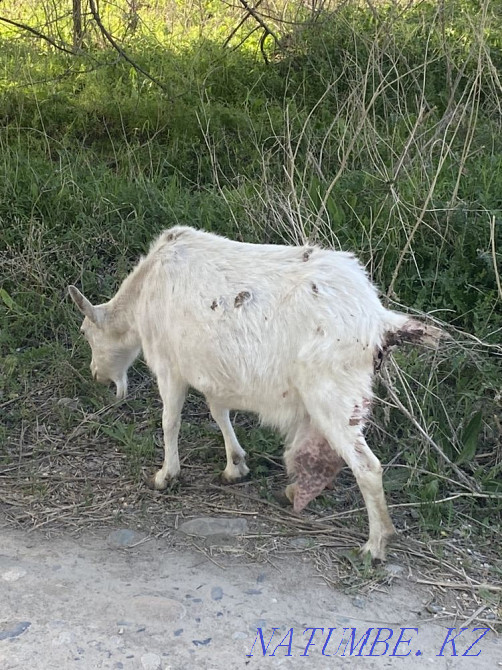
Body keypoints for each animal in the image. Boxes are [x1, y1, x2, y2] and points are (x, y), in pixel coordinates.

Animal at [69, 226, 441, 559]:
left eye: (85, 332)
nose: (97, 375)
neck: (145, 290)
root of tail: (378, 320)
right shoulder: (213, 370)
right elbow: (219, 412)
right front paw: (235, 465)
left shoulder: (169, 366)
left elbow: (170, 421)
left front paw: (165, 476)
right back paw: (296, 492)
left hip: (332, 394)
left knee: (367, 466)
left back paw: (375, 545)